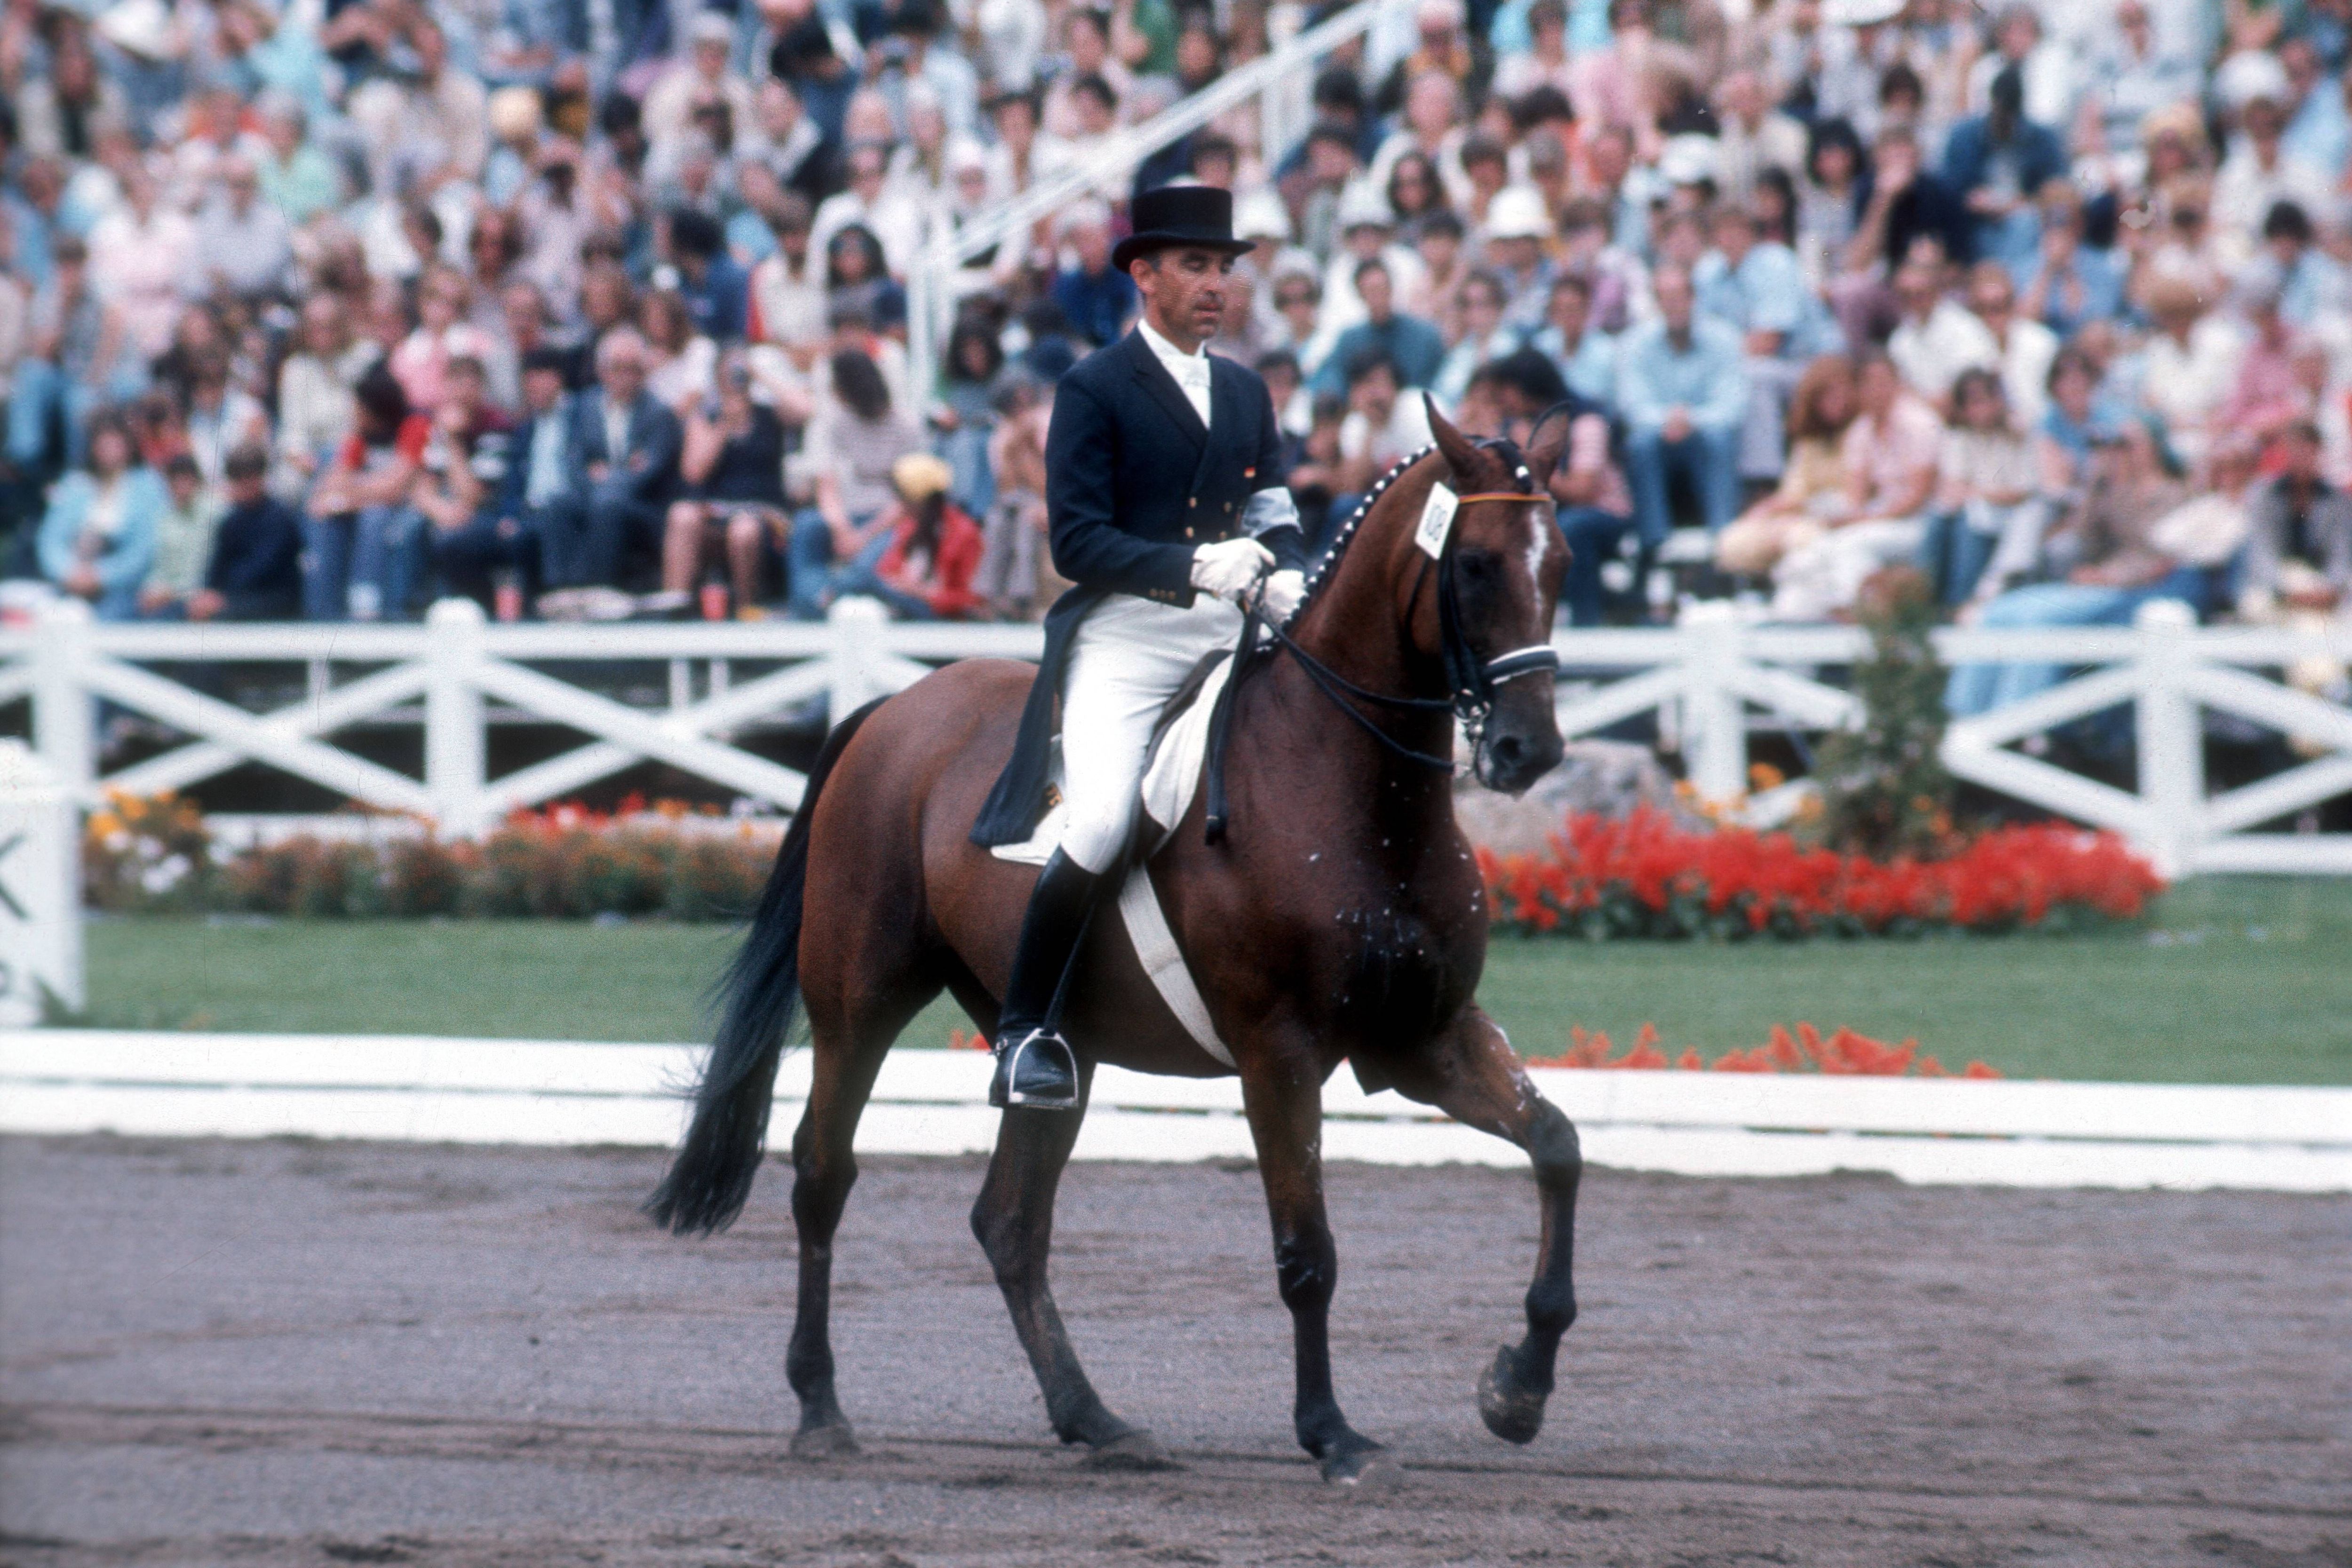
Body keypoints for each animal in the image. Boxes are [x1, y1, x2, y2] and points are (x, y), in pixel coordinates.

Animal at [654, 404, 1590, 1486]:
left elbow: (1557, 1146)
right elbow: (1306, 1250)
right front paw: (1332, 1434)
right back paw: (820, 1408)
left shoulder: (1423, 1037)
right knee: (821, 1173)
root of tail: (894, 708)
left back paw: (1092, 1418)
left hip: (1061, 1044)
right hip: (858, 1000)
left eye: (1562, 561)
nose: (1529, 750)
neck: (1356, 792)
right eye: (1475, 564)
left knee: (1010, 1222)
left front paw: (1517, 1389)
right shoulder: (1279, 1053)